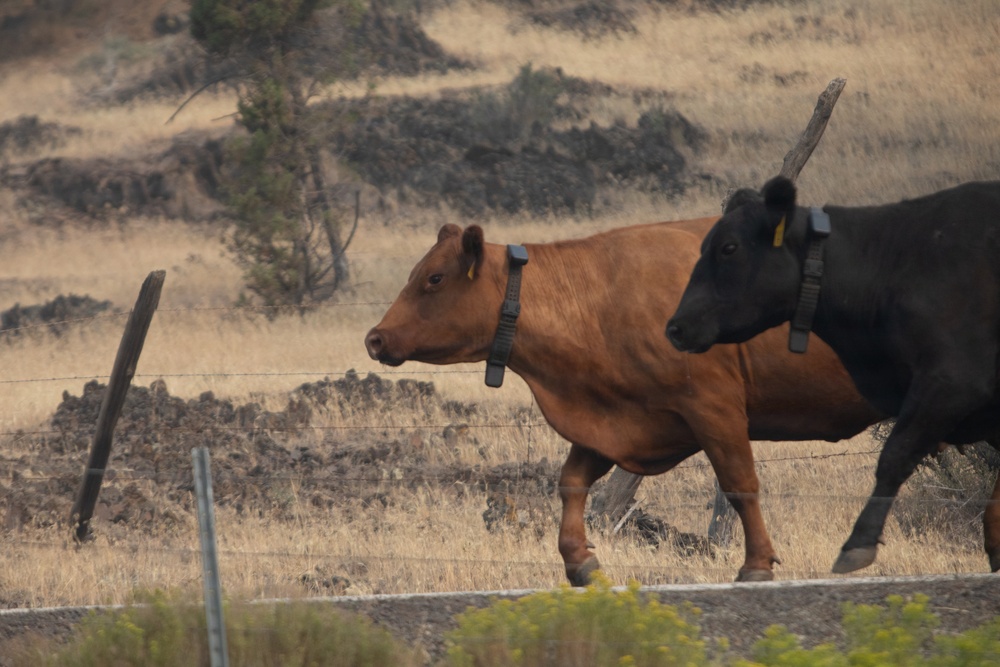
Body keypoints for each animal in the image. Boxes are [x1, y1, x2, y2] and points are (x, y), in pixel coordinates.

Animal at [365, 219, 885, 585]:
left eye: (434, 278)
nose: (375, 338)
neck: (601, 301)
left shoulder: (714, 409)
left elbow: (740, 485)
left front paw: (756, 565)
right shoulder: (611, 424)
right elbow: (571, 482)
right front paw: (578, 561)